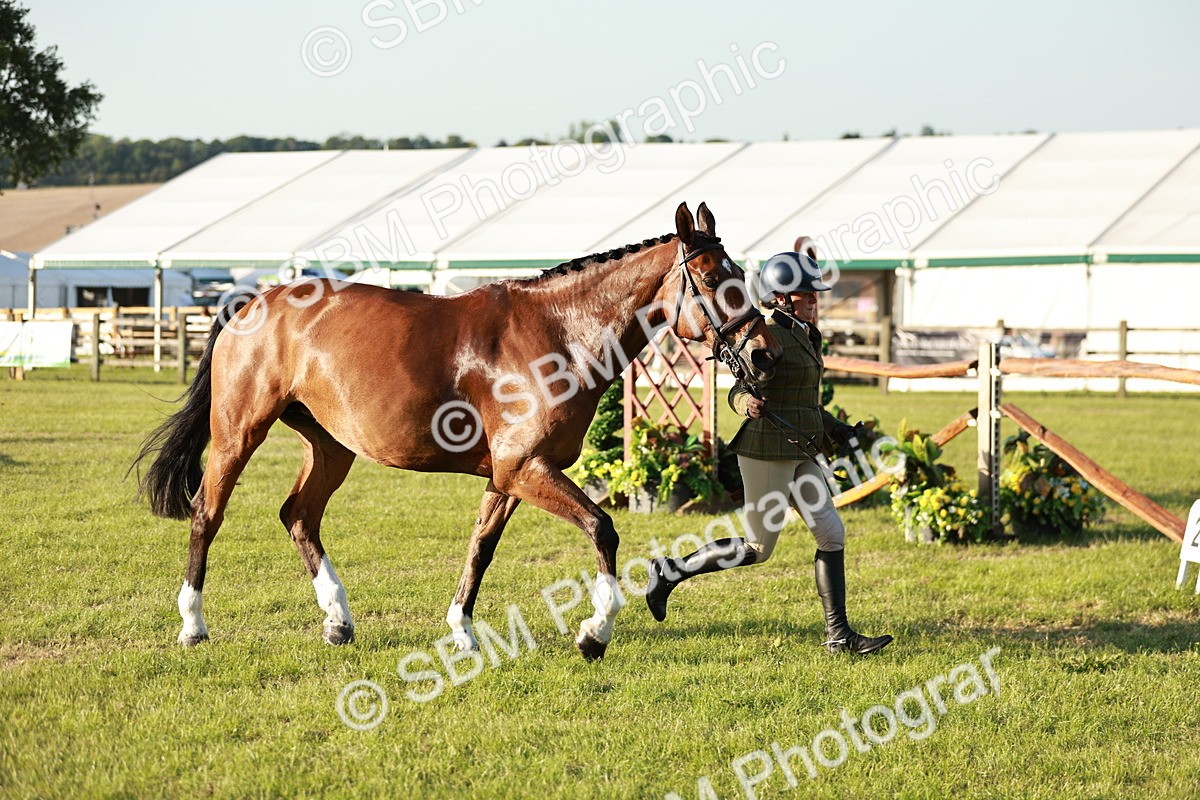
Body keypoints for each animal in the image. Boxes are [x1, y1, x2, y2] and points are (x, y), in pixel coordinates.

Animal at [131, 202, 781, 661]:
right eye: (713, 278)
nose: (764, 352)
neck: (559, 332)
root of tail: (252, 300)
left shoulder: (508, 475)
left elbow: (481, 547)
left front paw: (463, 632)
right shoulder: (526, 468)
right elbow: (602, 528)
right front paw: (594, 632)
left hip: (331, 446)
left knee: (299, 515)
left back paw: (338, 620)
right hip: (238, 433)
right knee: (207, 513)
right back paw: (193, 625)